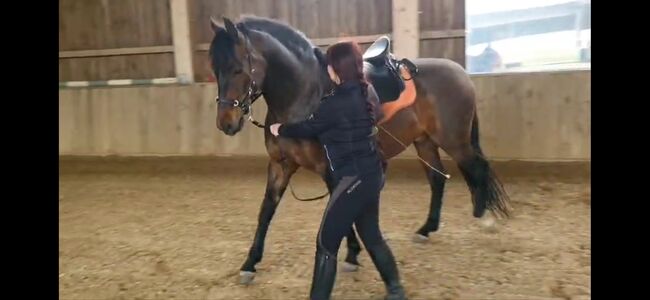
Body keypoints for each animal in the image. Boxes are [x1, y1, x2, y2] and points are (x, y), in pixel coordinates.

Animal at [210, 15, 508, 284]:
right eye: (215, 69)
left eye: (237, 69)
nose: (226, 123)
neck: (305, 96)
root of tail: (461, 73)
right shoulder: (280, 166)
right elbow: (265, 213)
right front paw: (249, 264)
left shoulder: (330, 169)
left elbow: (340, 214)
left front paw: (352, 255)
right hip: (424, 142)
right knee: (438, 179)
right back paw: (426, 229)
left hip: (454, 140)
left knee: (478, 167)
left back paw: (484, 216)